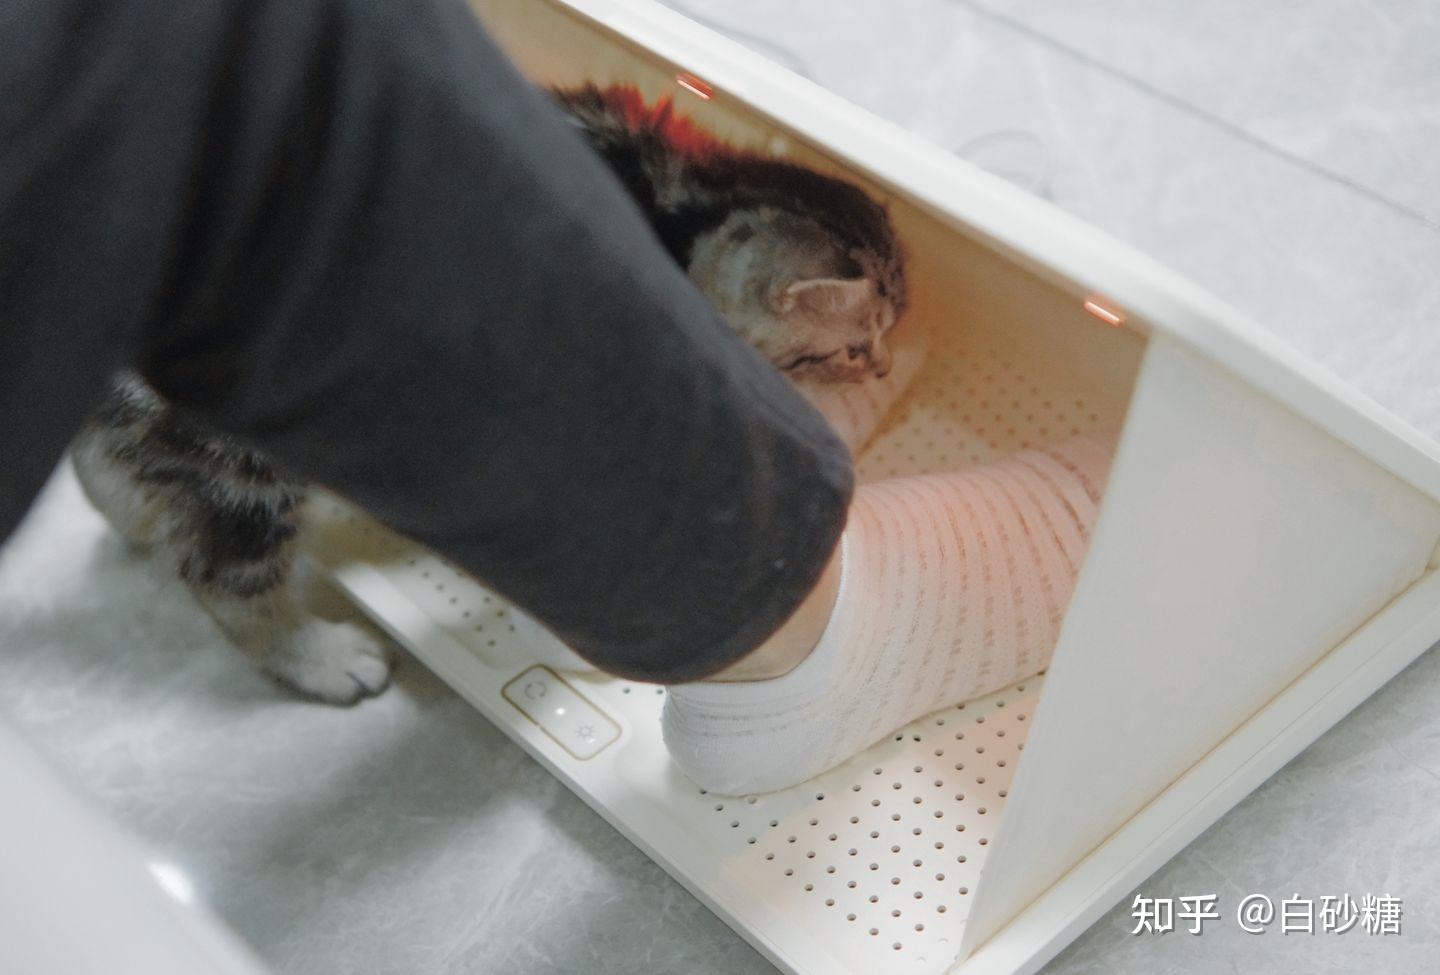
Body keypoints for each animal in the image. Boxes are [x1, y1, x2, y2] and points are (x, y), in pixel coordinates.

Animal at [71, 84, 909, 704]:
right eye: (853, 346)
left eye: (892, 330)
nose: (881, 369)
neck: (684, 206)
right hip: (242, 466)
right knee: (225, 580)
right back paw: (324, 658)